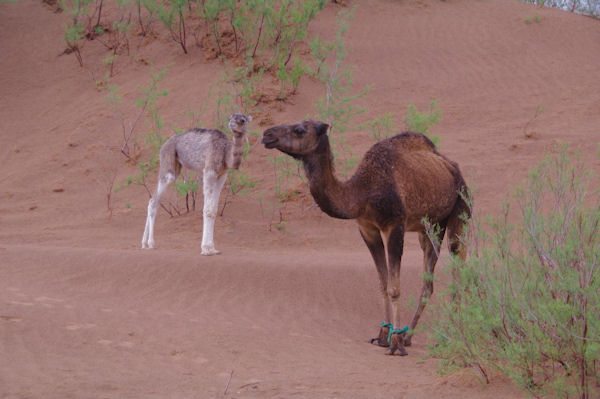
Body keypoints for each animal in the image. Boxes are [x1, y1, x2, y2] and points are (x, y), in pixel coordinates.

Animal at [262, 119, 468, 356]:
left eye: (299, 130)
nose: (267, 135)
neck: (363, 193)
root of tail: (451, 167)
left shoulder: (394, 225)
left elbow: (394, 288)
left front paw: (395, 344)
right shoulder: (367, 229)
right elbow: (383, 283)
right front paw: (383, 336)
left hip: (459, 210)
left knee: (458, 265)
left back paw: (451, 335)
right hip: (429, 227)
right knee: (429, 280)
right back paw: (411, 336)